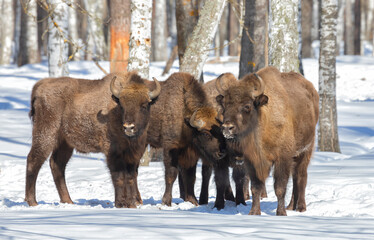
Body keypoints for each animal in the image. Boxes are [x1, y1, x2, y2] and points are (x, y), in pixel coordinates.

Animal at [25, 71, 161, 208]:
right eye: (122, 105)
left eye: (144, 105)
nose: (129, 127)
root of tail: (40, 86)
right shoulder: (112, 152)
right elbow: (119, 176)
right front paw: (121, 203)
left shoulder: (133, 154)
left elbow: (131, 177)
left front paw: (132, 204)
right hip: (46, 134)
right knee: (34, 160)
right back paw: (32, 202)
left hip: (65, 143)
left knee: (57, 164)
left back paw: (68, 201)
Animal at [216, 66, 318, 216]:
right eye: (224, 105)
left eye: (247, 106)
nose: (227, 128)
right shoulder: (252, 161)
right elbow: (256, 187)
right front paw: (254, 212)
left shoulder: (282, 158)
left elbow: (280, 187)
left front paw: (281, 213)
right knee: (294, 178)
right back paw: (290, 206)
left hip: (305, 151)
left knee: (301, 177)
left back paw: (300, 207)